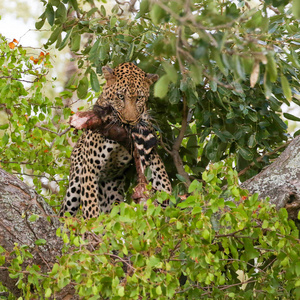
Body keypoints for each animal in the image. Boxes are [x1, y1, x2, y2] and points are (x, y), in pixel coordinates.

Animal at [59, 62, 171, 219]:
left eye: (139, 98)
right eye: (120, 96)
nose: (130, 121)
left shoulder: (147, 147)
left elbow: (160, 174)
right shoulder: (89, 167)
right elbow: (90, 204)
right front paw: (92, 224)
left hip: (111, 191)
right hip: (74, 184)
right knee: (64, 212)